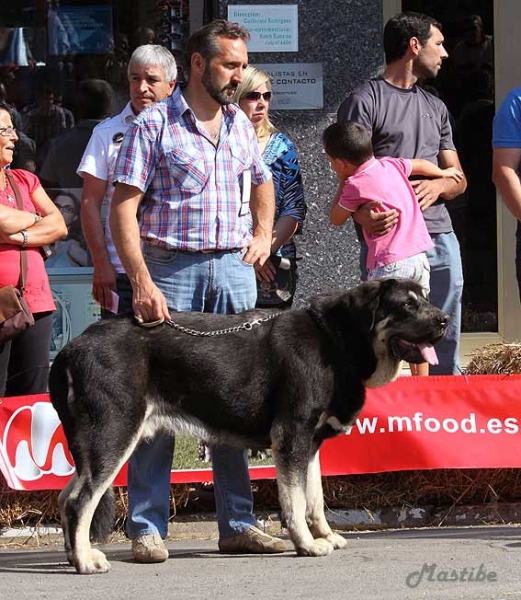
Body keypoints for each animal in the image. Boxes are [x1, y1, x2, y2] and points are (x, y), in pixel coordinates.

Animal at [49, 278, 446, 576]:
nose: (443, 320)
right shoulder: (292, 436)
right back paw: (85, 562)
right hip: (113, 433)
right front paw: (306, 544)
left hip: (93, 444)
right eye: (407, 305)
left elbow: (315, 499)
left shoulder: (310, 443)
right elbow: (295, 501)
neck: (335, 341)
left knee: (66, 497)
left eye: (425, 298)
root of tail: (73, 347)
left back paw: (74, 555)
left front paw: (325, 536)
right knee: (80, 501)